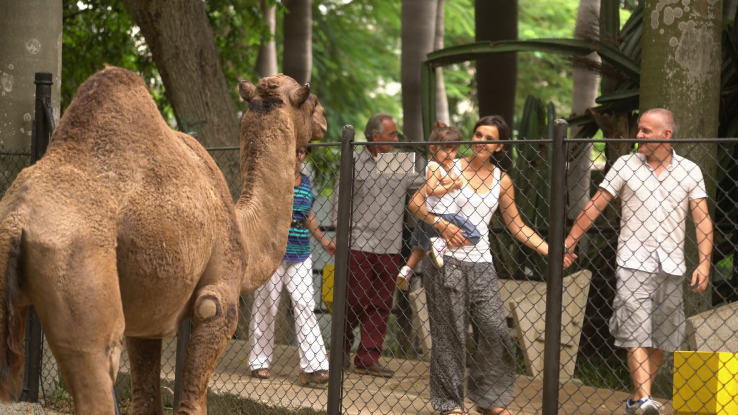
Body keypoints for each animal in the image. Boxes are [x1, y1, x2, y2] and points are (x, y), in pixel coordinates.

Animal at [0, 67, 326, 414]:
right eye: (310, 101)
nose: (323, 118)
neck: (243, 228)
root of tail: (17, 221)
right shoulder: (218, 299)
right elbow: (194, 395)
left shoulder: (147, 308)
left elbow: (145, 396)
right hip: (80, 270)